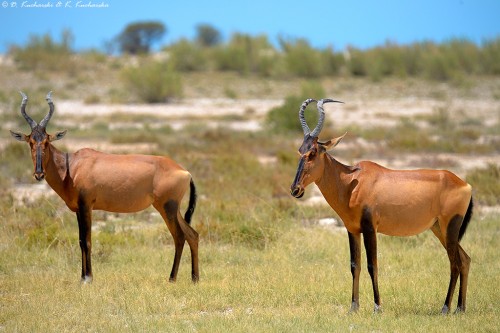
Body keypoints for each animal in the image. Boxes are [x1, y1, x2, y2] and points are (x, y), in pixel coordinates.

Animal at [8, 92, 198, 282]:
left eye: (47, 141)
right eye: (31, 142)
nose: (39, 174)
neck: (72, 166)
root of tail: (185, 171)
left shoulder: (86, 206)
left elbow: (87, 240)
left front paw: (88, 278)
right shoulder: (78, 209)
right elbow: (80, 240)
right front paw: (82, 277)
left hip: (167, 207)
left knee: (179, 237)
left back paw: (172, 278)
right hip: (174, 209)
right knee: (192, 235)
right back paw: (194, 278)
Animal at [290, 98, 472, 314]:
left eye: (313, 152)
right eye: (300, 150)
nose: (295, 189)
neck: (352, 181)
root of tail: (464, 184)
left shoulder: (370, 228)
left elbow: (372, 265)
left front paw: (377, 307)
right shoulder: (352, 230)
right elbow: (355, 265)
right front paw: (354, 307)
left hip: (450, 227)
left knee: (454, 263)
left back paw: (445, 308)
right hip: (439, 229)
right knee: (464, 260)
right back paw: (460, 308)